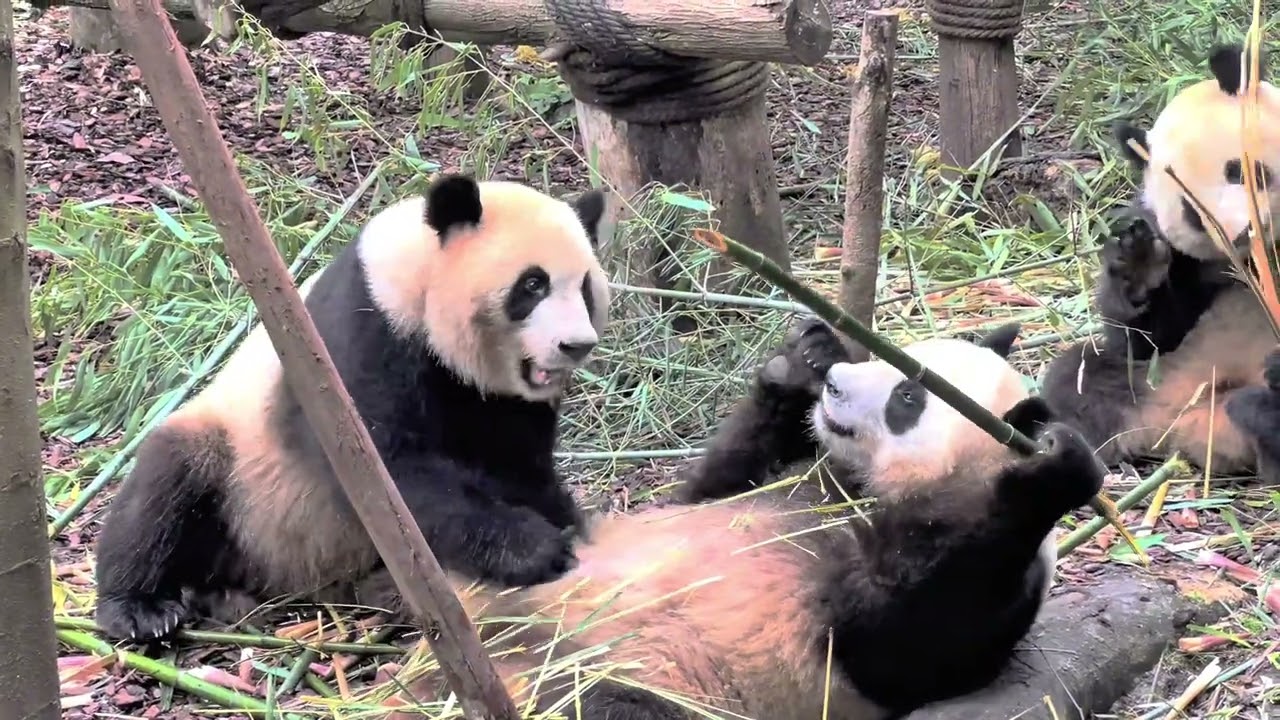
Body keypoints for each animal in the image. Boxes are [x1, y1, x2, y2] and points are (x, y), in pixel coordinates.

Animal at [93, 174, 612, 643]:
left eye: (586, 287)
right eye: (533, 284)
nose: (575, 345)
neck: (419, 278)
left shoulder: (496, 399)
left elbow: (516, 464)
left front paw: (570, 524)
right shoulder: (358, 335)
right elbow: (383, 471)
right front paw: (537, 549)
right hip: (234, 465)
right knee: (165, 488)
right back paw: (142, 609)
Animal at [388, 319, 1106, 720]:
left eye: (908, 399)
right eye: (896, 359)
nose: (837, 384)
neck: (860, 488)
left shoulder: (983, 588)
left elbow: (905, 646)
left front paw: (1057, 469)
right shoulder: (789, 482)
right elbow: (704, 491)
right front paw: (801, 359)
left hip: (641, 678)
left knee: (604, 708)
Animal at [1040, 42, 1280, 486]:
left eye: (1239, 171)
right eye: (1193, 212)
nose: (1240, 233)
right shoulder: (1176, 249)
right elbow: (1152, 334)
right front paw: (1138, 269)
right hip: (1155, 377)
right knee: (1078, 375)